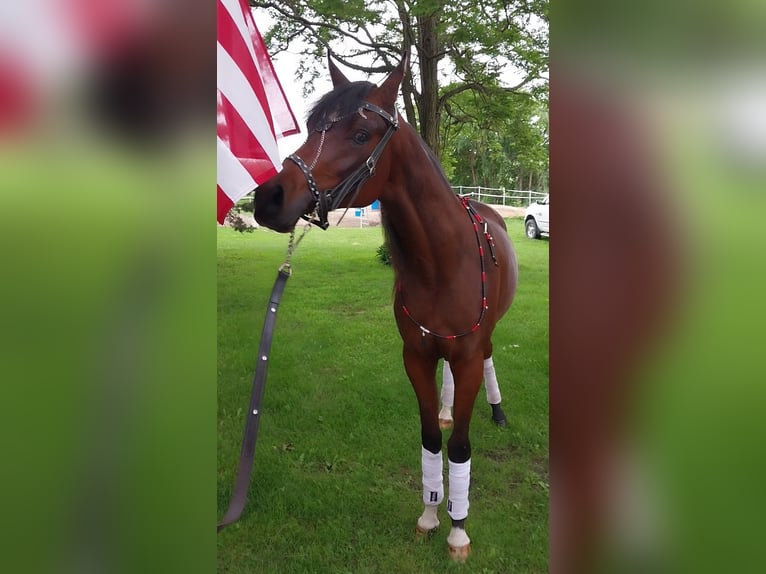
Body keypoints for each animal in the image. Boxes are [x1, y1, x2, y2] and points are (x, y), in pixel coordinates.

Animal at [255, 54, 520, 564]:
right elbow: (431, 438)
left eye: (360, 135)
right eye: (313, 127)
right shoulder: (415, 356)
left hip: (485, 339)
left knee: (490, 360)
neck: (443, 262)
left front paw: (458, 530)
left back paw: (497, 411)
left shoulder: (467, 356)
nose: (267, 198)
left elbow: (460, 447)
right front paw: (432, 513)